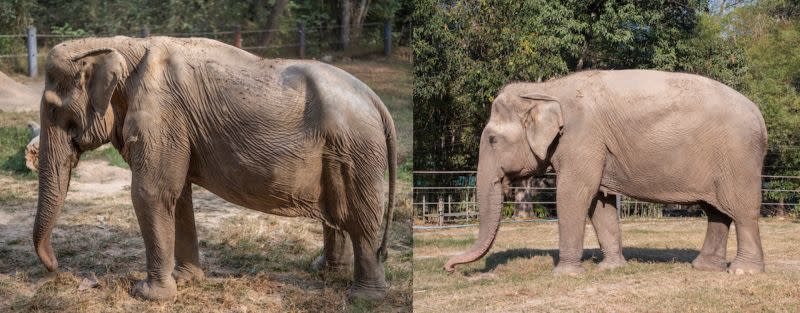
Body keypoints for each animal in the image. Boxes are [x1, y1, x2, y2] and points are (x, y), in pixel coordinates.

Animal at [33, 36, 396, 300]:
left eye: (53, 110)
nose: (57, 268)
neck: (120, 45)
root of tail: (377, 101)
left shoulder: (162, 115)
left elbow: (151, 193)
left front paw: (148, 295)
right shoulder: (176, 127)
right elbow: (177, 196)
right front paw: (186, 280)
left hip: (357, 150)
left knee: (361, 219)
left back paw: (364, 298)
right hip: (342, 152)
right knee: (338, 213)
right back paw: (323, 271)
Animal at [444, 69, 768, 276]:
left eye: (492, 140)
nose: (448, 268)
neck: (547, 89)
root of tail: (761, 118)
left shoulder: (582, 138)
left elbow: (574, 194)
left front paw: (565, 275)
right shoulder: (596, 147)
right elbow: (599, 201)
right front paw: (610, 269)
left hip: (739, 158)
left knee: (741, 210)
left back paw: (743, 272)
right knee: (717, 211)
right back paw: (705, 268)